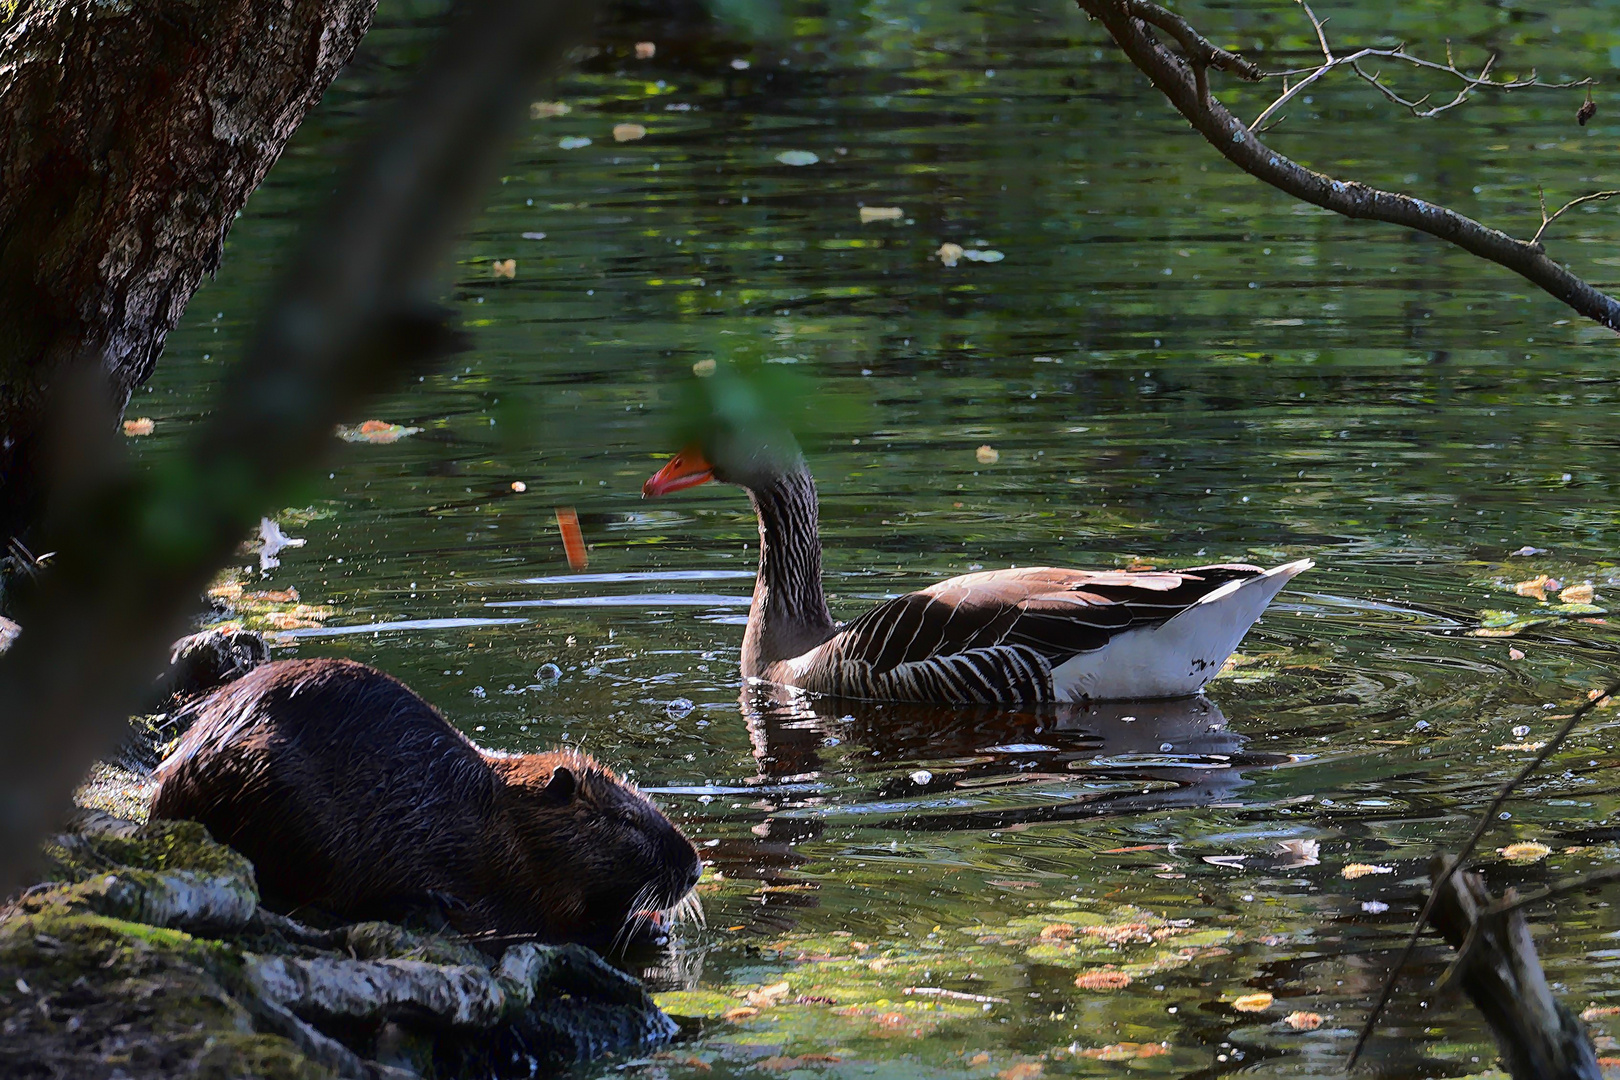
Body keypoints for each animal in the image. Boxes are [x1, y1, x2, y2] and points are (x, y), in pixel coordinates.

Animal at [150, 660, 703, 945]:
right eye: (625, 820)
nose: (695, 868)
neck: (491, 811)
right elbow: (554, 923)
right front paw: (644, 927)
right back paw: (427, 903)